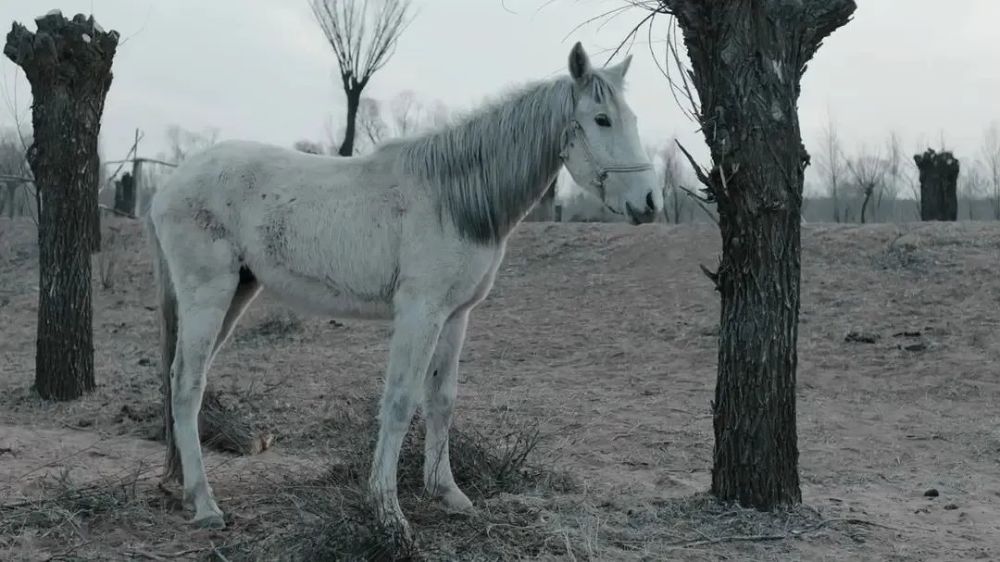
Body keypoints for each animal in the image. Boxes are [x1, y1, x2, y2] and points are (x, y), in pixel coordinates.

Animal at [148, 41, 660, 540]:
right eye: (602, 119)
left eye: (634, 118)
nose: (650, 203)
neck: (452, 198)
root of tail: (169, 184)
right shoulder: (420, 312)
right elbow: (399, 401)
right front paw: (387, 510)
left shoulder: (455, 316)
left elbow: (441, 400)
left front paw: (447, 492)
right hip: (208, 295)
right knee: (187, 385)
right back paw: (206, 505)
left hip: (236, 293)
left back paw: (186, 490)